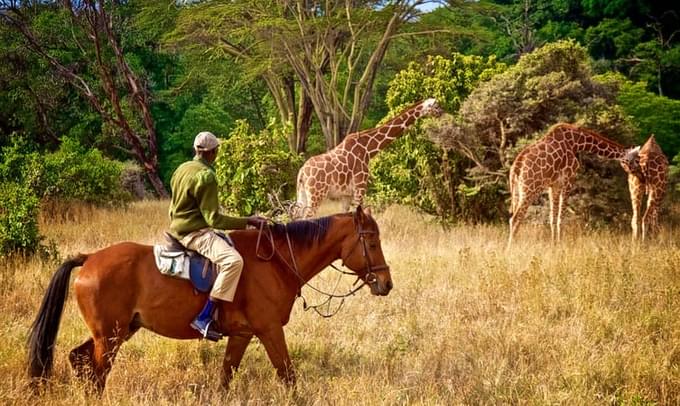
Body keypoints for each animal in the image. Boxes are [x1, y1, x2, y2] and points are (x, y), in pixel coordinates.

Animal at [27, 206, 394, 394]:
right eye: (372, 241)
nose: (386, 283)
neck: (277, 261)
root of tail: (89, 259)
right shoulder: (269, 330)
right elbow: (288, 375)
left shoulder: (243, 335)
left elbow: (226, 377)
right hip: (111, 337)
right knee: (98, 373)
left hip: (118, 331)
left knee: (80, 360)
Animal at [294, 97, 444, 219]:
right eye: (437, 106)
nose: (443, 113)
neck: (368, 150)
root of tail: (302, 172)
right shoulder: (360, 188)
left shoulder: (345, 195)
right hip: (316, 194)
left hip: (302, 194)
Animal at [508, 122, 640, 246]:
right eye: (636, 160)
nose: (639, 173)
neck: (578, 142)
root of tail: (515, 167)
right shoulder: (568, 179)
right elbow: (561, 218)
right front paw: (560, 244)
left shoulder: (554, 185)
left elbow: (552, 217)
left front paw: (554, 244)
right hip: (530, 189)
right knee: (514, 218)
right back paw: (510, 248)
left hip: (518, 190)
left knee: (515, 217)